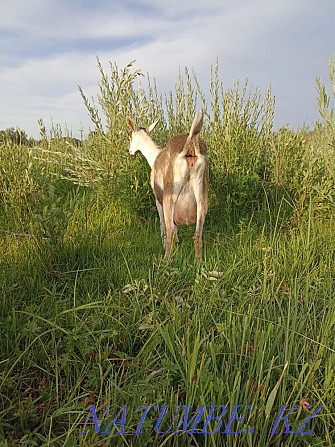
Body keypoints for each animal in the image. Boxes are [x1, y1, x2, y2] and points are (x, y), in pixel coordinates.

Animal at [127, 109, 209, 260]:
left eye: (130, 135)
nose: (129, 151)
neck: (155, 155)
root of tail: (190, 146)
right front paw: (178, 243)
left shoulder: (157, 199)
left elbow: (163, 226)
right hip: (202, 198)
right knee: (197, 236)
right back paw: (198, 262)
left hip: (169, 198)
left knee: (169, 230)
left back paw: (165, 260)